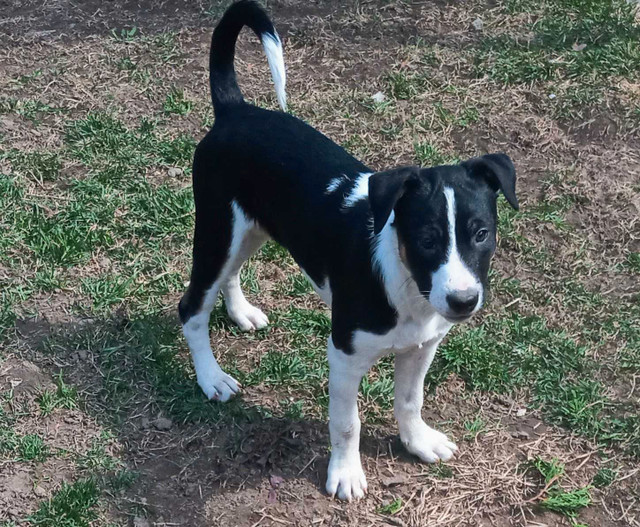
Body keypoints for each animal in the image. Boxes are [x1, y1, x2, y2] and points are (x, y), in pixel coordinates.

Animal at [178, 1, 516, 504]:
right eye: (427, 239)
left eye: (481, 234)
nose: (462, 302)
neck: (407, 286)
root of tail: (235, 110)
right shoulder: (343, 355)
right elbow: (346, 423)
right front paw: (346, 473)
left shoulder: (423, 345)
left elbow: (410, 399)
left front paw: (417, 441)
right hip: (218, 229)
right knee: (192, 307)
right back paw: (211, 378)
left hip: (249, 227)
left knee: (231, 274)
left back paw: (241, 313)